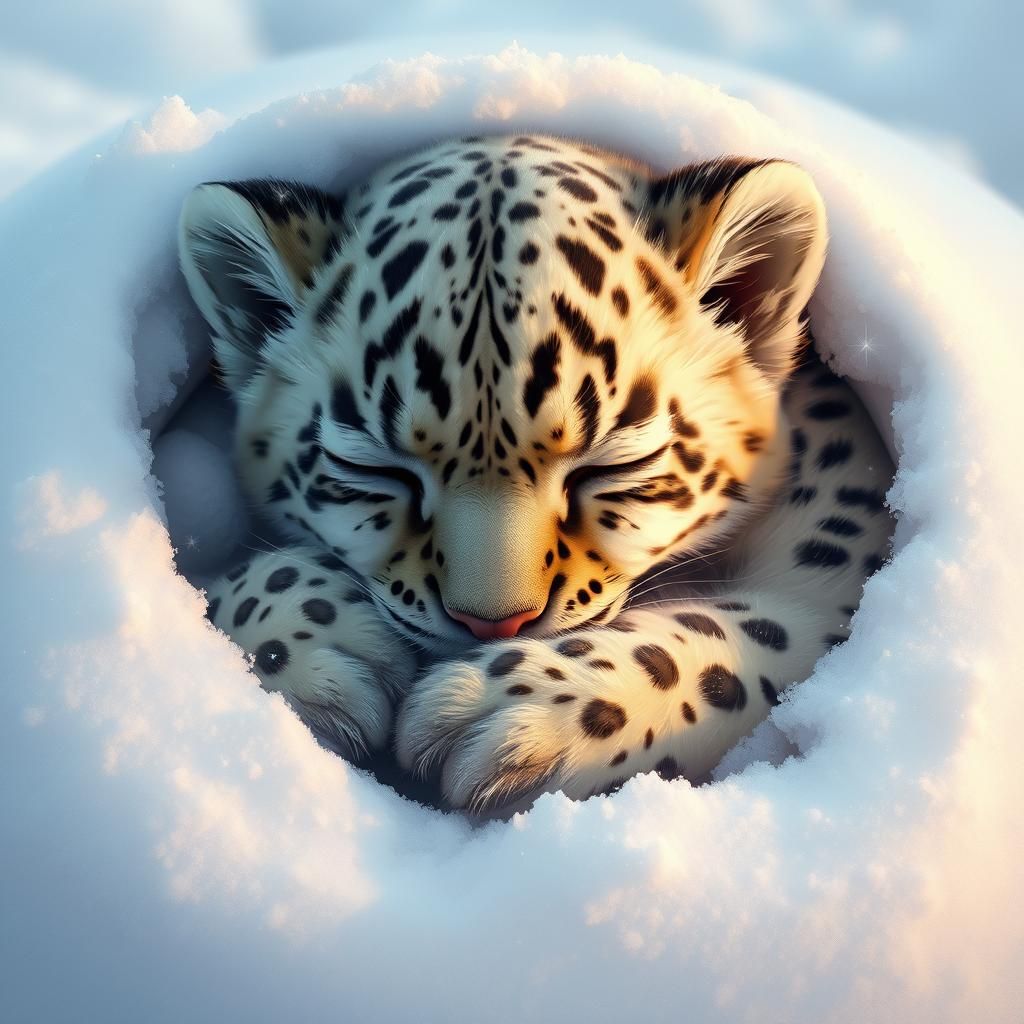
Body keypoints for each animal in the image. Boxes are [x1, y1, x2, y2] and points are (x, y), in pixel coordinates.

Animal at [178, 132, 894, 812]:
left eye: (616, 462)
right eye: (370, 465)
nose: (492, 626)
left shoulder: (842, 564)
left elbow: (760, 632)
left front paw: (506, 712)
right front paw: (317, 646)